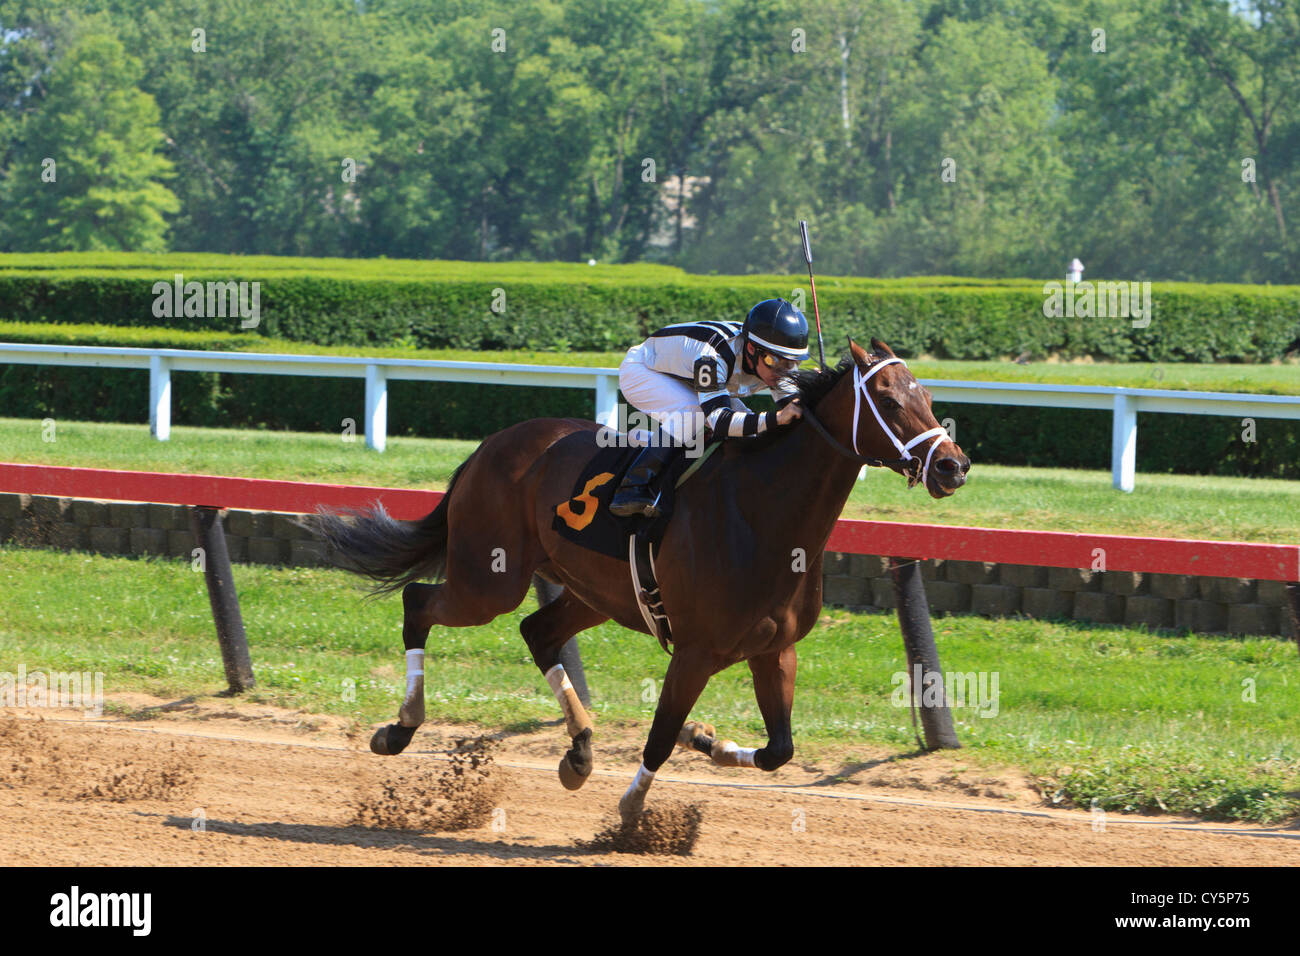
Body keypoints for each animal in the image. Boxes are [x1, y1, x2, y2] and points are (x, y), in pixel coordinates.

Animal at [318, 339, 969, 823]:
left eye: (927, 395)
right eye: (887, 399)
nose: (953, 465)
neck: (762, 515)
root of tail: (490, 446)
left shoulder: (773, 649)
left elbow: (779, 750)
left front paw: (706, 740)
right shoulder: (696, 651)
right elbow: (659, 734)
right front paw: (633, 808)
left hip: (592, 592)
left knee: (537, 632)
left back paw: (579, 751)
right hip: (489, 578)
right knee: (419, 603)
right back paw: (400, 729)